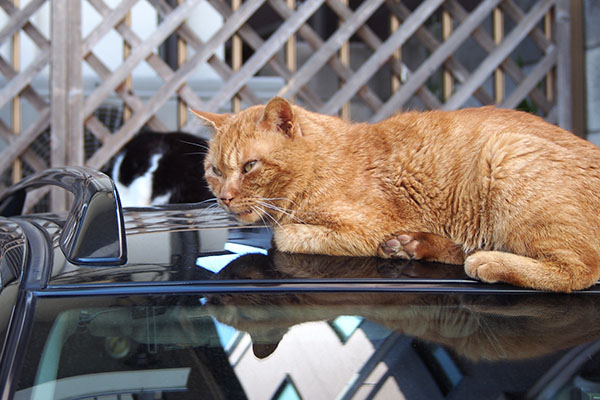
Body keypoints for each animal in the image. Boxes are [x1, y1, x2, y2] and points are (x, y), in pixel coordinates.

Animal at [191, 97, 600, 290]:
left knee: (580, 269)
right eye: (215, 171)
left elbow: (285, 236)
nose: (225, 197)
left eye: (249, 167)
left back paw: (488, 262)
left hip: (507, 154)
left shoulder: (364, 229)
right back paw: (415, 245)